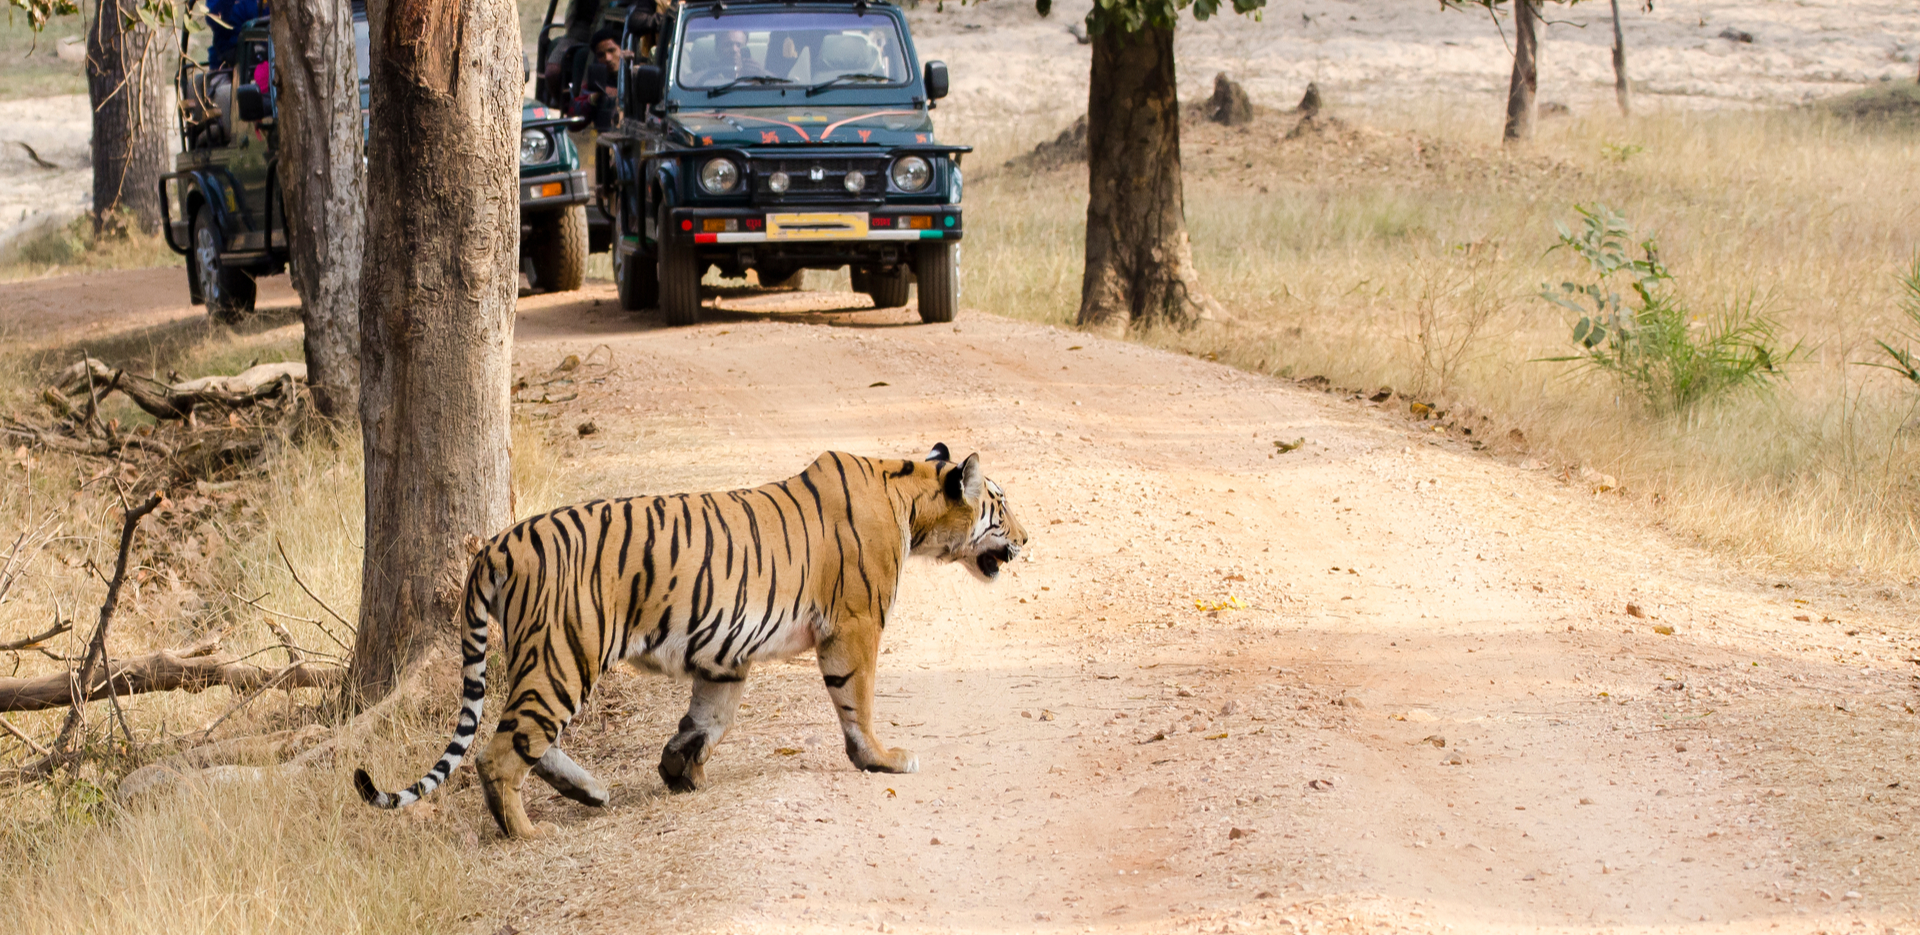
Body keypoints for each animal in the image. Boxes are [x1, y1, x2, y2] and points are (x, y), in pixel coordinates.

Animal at [353, 444, 1027, 838]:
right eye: (1000, 504)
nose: (1027, 539)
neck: (909, 499)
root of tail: (497, 543)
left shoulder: (726, 653)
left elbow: (709, 718)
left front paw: (680, 769)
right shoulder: (854, 626)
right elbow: (855, 703)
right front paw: (882, 759)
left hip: (549, 660)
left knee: (523, 738)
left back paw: (589, 791)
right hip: (563, 656)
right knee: (502, 750)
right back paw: (527, 832)